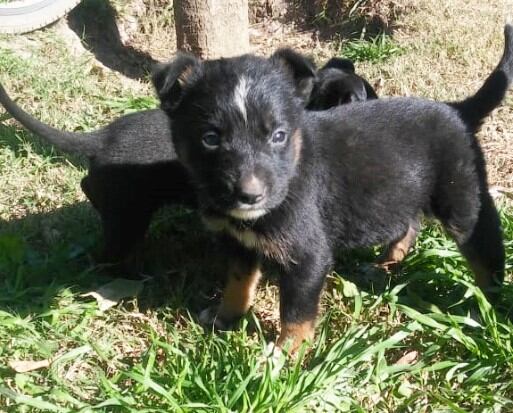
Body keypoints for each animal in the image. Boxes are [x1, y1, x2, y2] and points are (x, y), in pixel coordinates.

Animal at [153, 24, 512, 350]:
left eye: (278, 136)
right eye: (210, 139)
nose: (250, 196)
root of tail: (457, 109)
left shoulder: (308, 256)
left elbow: (296, 313)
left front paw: (285, 355)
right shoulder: (237, 243)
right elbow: (238, 282)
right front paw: (225, 317)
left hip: (462, 200)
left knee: (485, 251)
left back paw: (489, 308)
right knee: (409, 224)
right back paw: (384, 266)